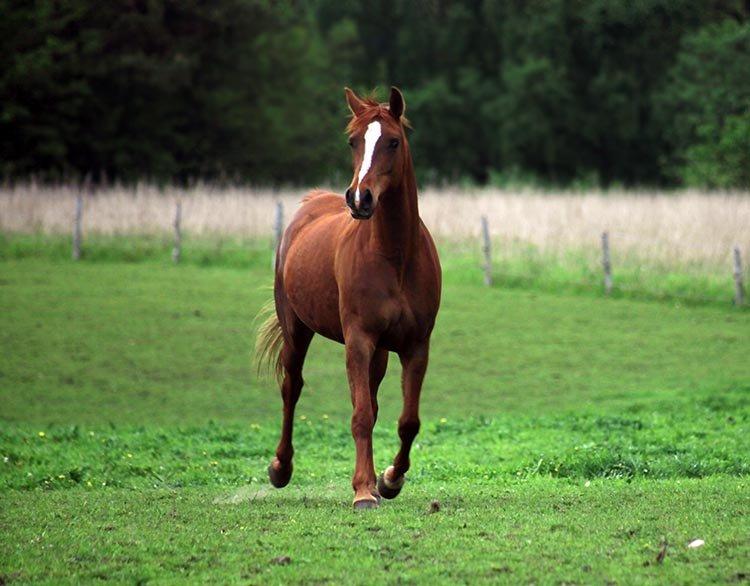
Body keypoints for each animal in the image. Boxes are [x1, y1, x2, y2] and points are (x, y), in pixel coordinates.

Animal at [258, 85, 444, 506]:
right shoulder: (358, 340)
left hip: (380, 353)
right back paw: (281, 468)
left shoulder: (416, 346)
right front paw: (363, 491)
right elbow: (361, 415)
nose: (359, 199)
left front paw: (389, 479)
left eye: (393, 141)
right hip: (297, 331)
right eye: (353, 141)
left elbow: (407, 421)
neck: (394, 257)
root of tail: (310, 203)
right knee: (292, 388)